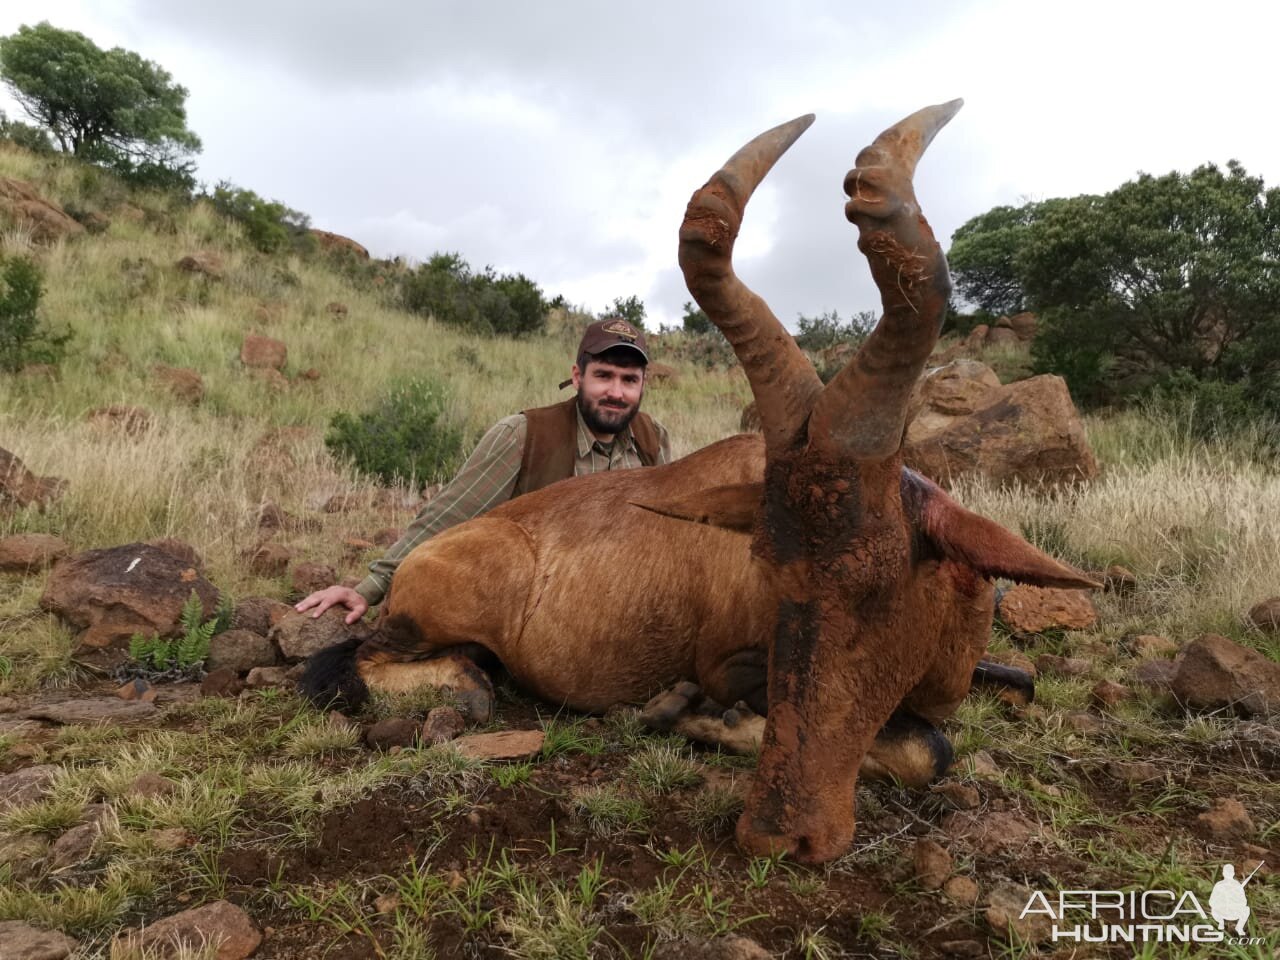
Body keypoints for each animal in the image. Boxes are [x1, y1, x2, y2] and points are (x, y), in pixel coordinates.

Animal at [302, 103, 1100, 865]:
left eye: (882, 577)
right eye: (767, 569)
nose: (780, 835)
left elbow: (991, 700)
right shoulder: (730, 664)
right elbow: (926, 747)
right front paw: (683, 713)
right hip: (426, 626)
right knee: (396, 670)